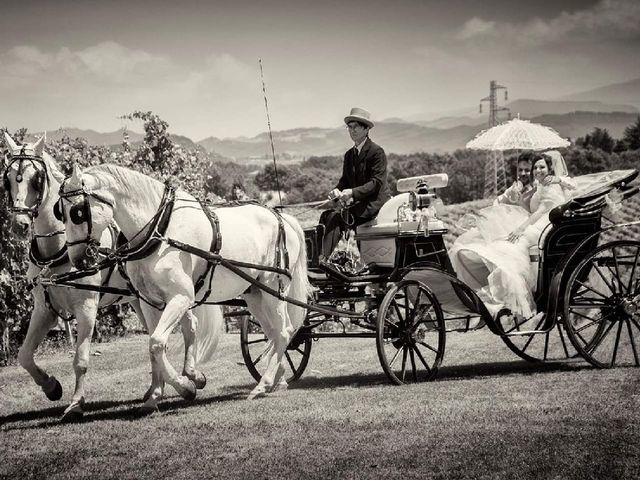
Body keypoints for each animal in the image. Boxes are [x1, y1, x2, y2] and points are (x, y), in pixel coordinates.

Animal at [2, 132, 222, 420]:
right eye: (7, 179)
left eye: (36, 179)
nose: (20, 225)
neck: (56, 253)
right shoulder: (43, 308)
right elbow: (24, 355)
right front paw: (51, 386)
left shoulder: (87, 307)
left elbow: (81, 359)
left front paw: (75, 404)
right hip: (140, 300)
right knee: (161, 336)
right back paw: (160, 388)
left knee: (189, 326)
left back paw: (189, 378)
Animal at [56, 163, 312, 406]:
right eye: (60, 214)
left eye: (77, 212)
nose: (77, 260)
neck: (160, 231)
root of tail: (283, 219)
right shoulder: (149, 302)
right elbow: (154, 345)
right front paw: (158, 394)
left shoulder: (181, 297)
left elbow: (157, 342)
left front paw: (185, 386)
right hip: (255, 293)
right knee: (276, 333)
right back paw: (277, 380)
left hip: (274, 289)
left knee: (284, 331)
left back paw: (264, 384)